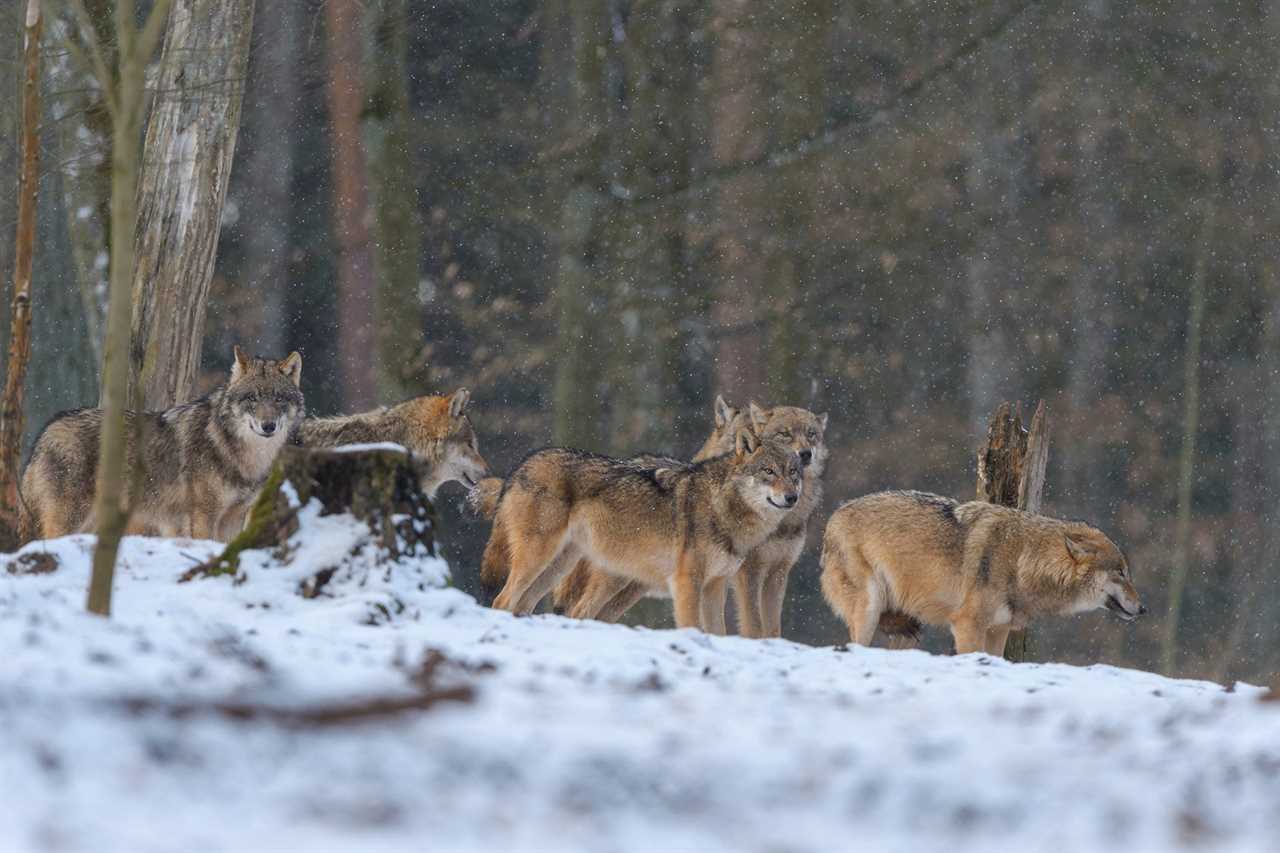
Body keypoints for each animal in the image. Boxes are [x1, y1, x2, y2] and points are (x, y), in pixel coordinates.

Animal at [20, 343, 304, 537]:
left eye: (279, 398)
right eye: (252, 398)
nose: (268, 426)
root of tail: (47, 430)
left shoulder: (234, 517)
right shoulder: (203, 515)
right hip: (71, 520)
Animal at [481, 432, 798, 630]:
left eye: (793, 473)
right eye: (769, 471)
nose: (792, 497)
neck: (722, 506)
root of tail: (521, 465)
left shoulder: (715, 586)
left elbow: (717, 632)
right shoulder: (687, 582)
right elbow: (692, 626)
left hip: (562, 567)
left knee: (530, 605)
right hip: (541, 559)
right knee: (502, 600)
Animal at [819, 489, 1152, 653]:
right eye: (1121, 572)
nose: (1144, 609)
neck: (1022, 560)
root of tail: (833, 517)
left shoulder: (998, 630)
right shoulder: (967, 625)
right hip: (869, 609)